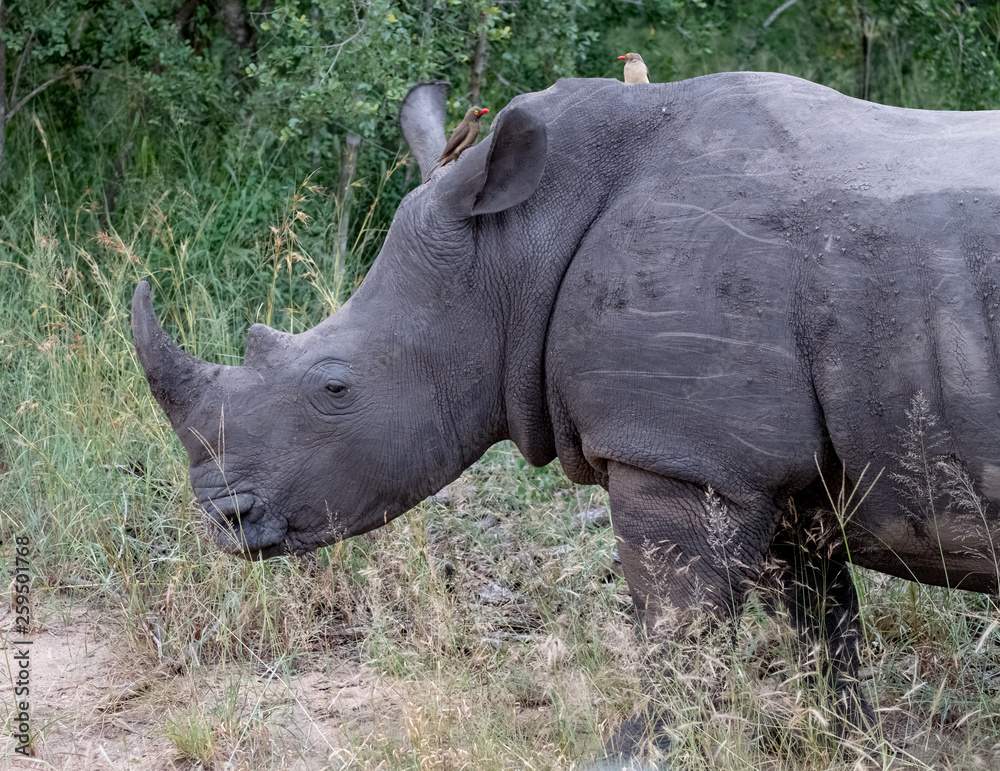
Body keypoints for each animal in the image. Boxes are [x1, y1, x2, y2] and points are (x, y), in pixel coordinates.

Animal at [133, 72, 1000, 756]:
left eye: (334, 386)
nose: (223, 517)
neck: (513, 249)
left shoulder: (683, 455)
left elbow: (678, 638)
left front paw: (636, 750)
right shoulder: (762, 467)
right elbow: (822, 632)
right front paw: (850, 745)